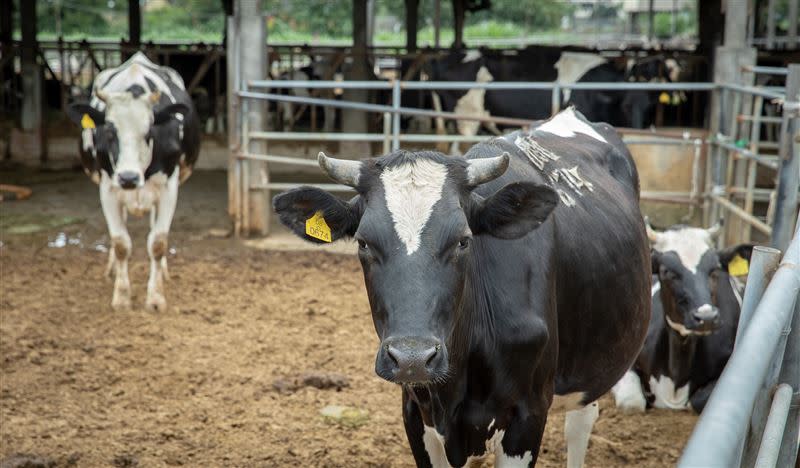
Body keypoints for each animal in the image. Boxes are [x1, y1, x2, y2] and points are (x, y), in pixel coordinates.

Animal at [67, 51, 202, 310]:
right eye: (110, 131)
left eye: (149, 131)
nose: (128, 177)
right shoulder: (107, 188)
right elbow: (121, 243)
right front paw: (121, 297)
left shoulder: (169, 187)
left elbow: (158, 242)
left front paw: (156, 298)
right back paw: (112, 269)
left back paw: (163, 271)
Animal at [274, 108, 648, 466]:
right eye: (363, 242)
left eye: (463, 240)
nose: (412, 358)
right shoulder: (416, 412)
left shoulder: (529, 414)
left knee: (580, 423)